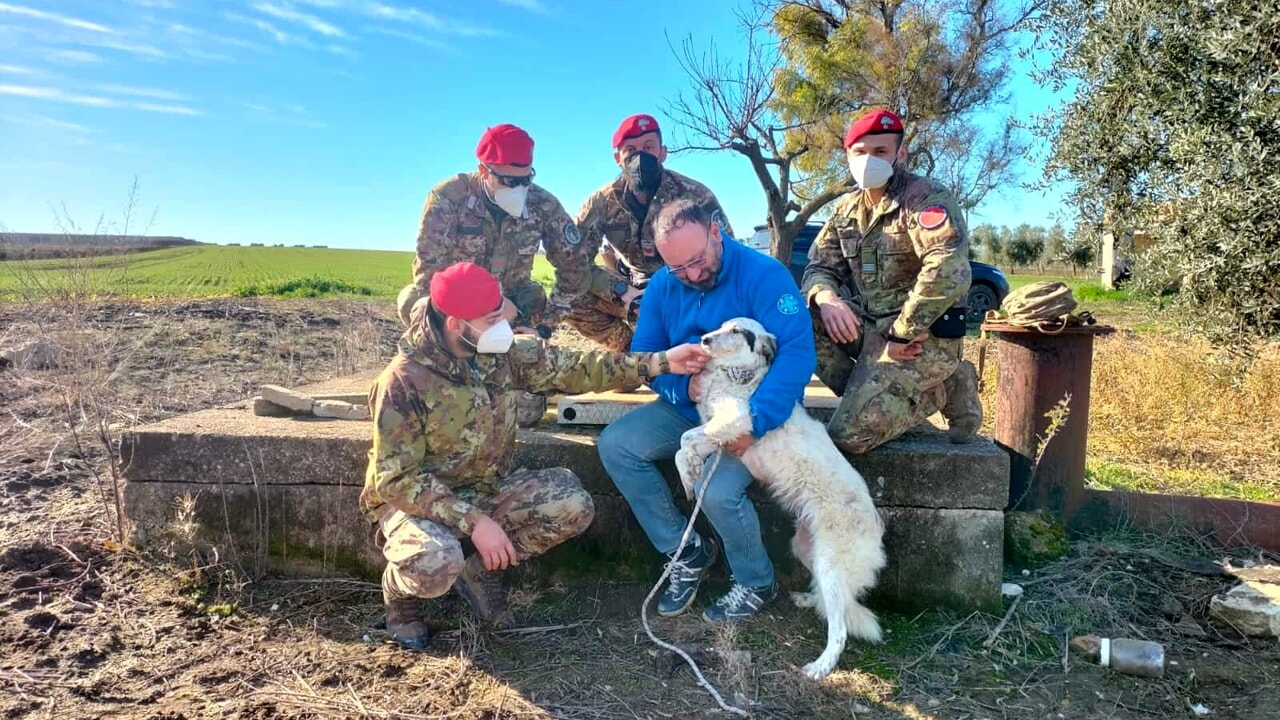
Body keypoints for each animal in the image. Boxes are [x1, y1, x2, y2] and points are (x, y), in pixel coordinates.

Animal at [675, 315, 885, 676]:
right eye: (722, 325)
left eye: (737, 331)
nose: (703, 340)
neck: (738, 375)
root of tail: (875, 527)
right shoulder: (717, 429)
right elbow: (683, 446)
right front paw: (689, 474)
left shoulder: (738, 419)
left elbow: (685, 438)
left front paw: (689, 475)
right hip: (805, 548)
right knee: (834, 604)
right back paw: (808, 600)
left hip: (830, 564)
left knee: (840, 628)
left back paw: (820, 667)